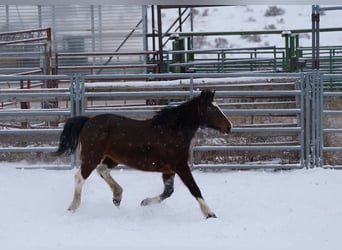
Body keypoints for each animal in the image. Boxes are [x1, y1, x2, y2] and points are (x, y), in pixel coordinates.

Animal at [54, 90, 232, 219]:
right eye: (212, 108)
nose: (229, 127)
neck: (173, 131)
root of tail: (88, 121)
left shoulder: (168, 170)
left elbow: (168, 192)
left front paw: (145, 202)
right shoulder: (180, 166)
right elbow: (194, 188)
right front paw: (210, 214)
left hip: (112, 157)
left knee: (102, 170)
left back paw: (117, 196)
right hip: (92, 156)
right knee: (80, 177)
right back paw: (73, 207)